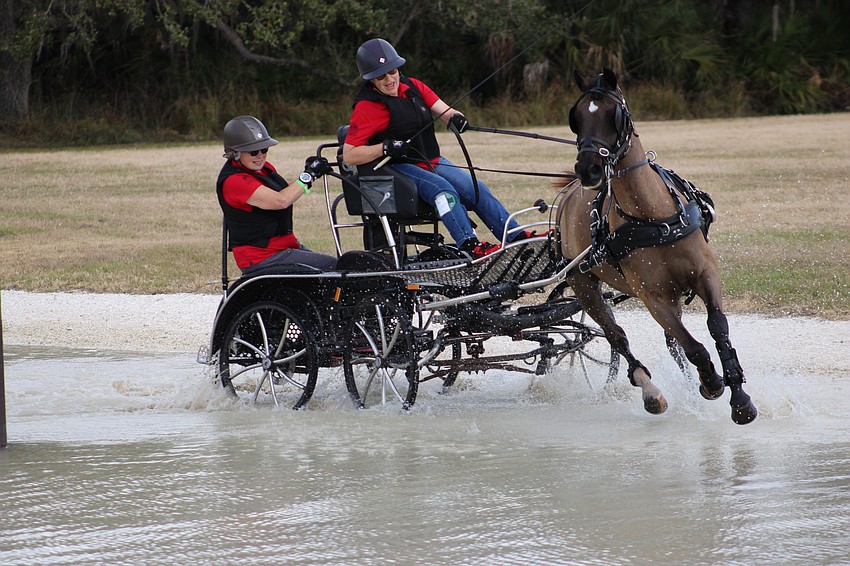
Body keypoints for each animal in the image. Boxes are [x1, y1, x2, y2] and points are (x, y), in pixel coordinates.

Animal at [557, 68, 758, 425]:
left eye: (613, 114)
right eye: (576, 117)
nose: (588, 169)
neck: (653, 218)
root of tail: (568, 193)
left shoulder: (705, 275)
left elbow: (717, 328)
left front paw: (739, 397)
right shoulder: (654, 298)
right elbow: (694, 347)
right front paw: (712, 383)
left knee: (670, 342)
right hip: (583, 285)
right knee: (617, 336)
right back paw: (651, 391)